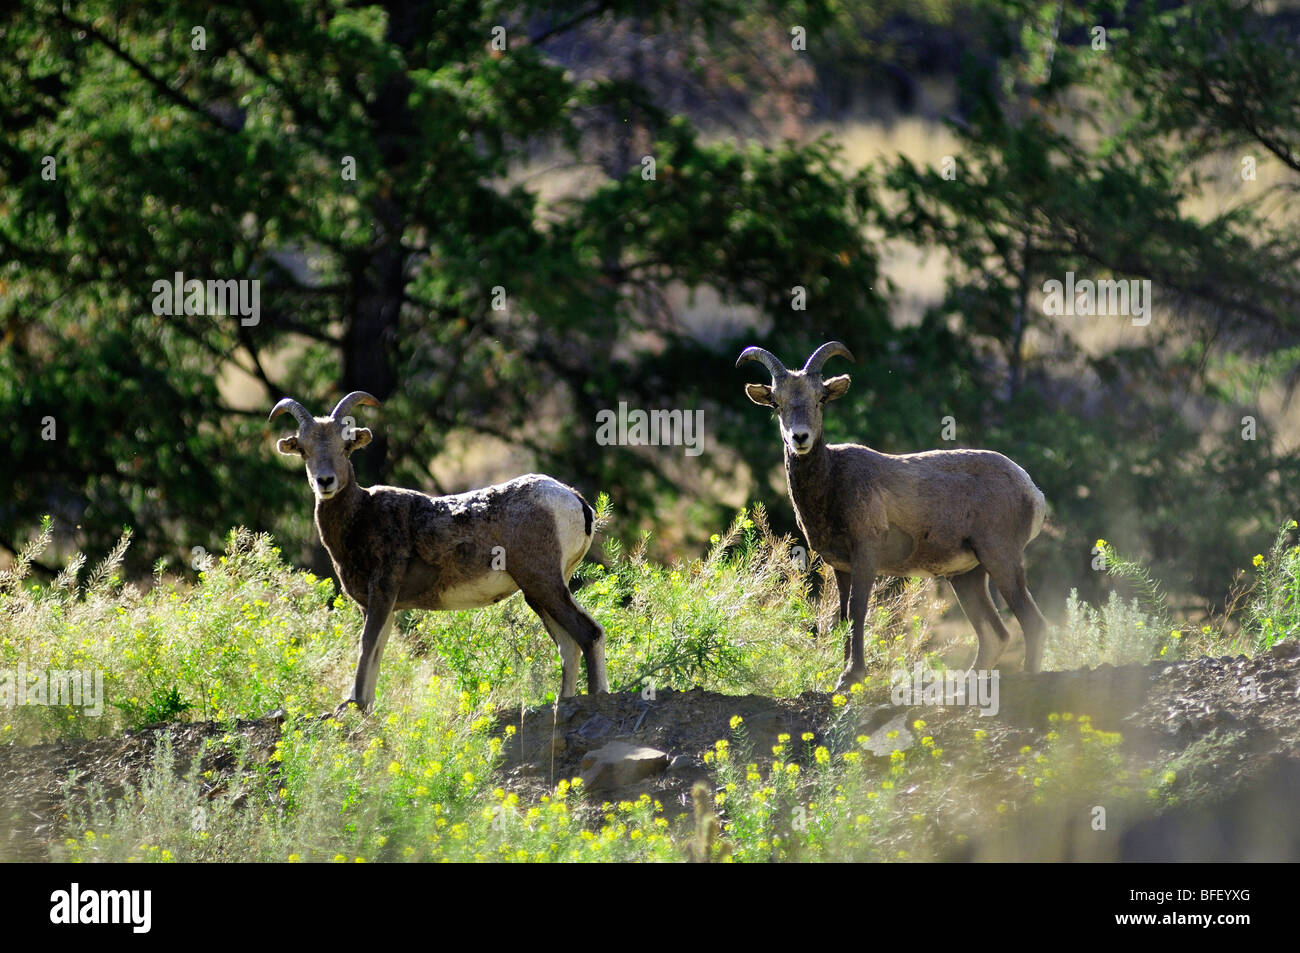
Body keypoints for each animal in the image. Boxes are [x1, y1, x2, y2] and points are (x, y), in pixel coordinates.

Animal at [269, 391, 609, 713]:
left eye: (345, 447)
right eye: (304, 450)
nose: (325, 481)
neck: (361, 516)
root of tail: (575, 501)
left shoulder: (382, 594)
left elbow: (366, 646)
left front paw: (354, 706)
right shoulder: (384, 606)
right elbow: (377, 651)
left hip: (543, 583)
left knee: (589, 634)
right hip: (537, 594)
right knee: (568, 646)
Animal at [737, 342, 1050, 691]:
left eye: (820, 399)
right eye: (776, 404)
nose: (800, 438)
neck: (831, 484)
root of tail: (1032, 490)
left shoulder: (866, 554)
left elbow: (858, 610)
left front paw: (852, 676)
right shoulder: (842, 566)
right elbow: (844, 615)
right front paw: (843, 677)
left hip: (1000, 559)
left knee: (1032, 623)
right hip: (967, 575)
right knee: (995, 635)